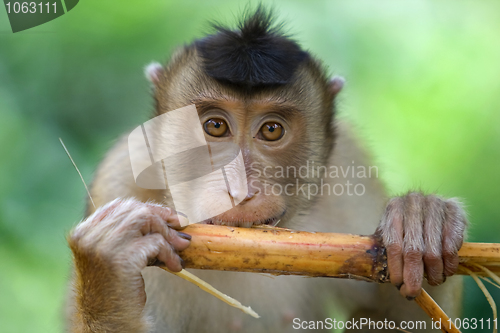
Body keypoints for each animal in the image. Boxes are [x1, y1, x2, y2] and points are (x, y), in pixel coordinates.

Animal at [64, 5, 466, 332]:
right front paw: (107, 263)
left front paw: (421, 223)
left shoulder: (352, 174)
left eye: (272, 130)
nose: (240, 191)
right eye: (215, 126)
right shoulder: (119, 179)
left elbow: (395, 313)